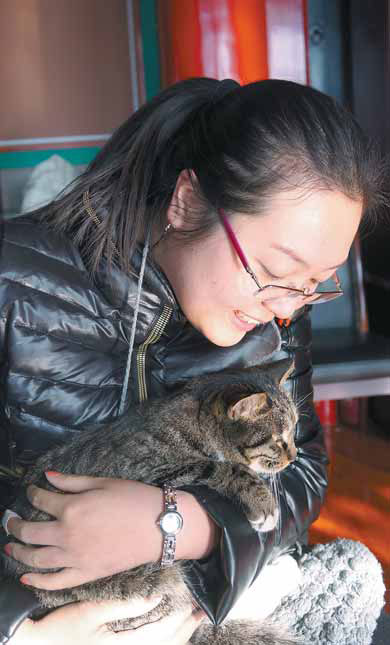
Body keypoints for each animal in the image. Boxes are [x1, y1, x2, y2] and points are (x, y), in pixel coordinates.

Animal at [2, 358, 304, 644]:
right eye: (278, 440)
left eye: (294, 430)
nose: (294, 456)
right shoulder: (147, 469)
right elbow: (220, 467)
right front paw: (262, 501)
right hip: (162, 581)